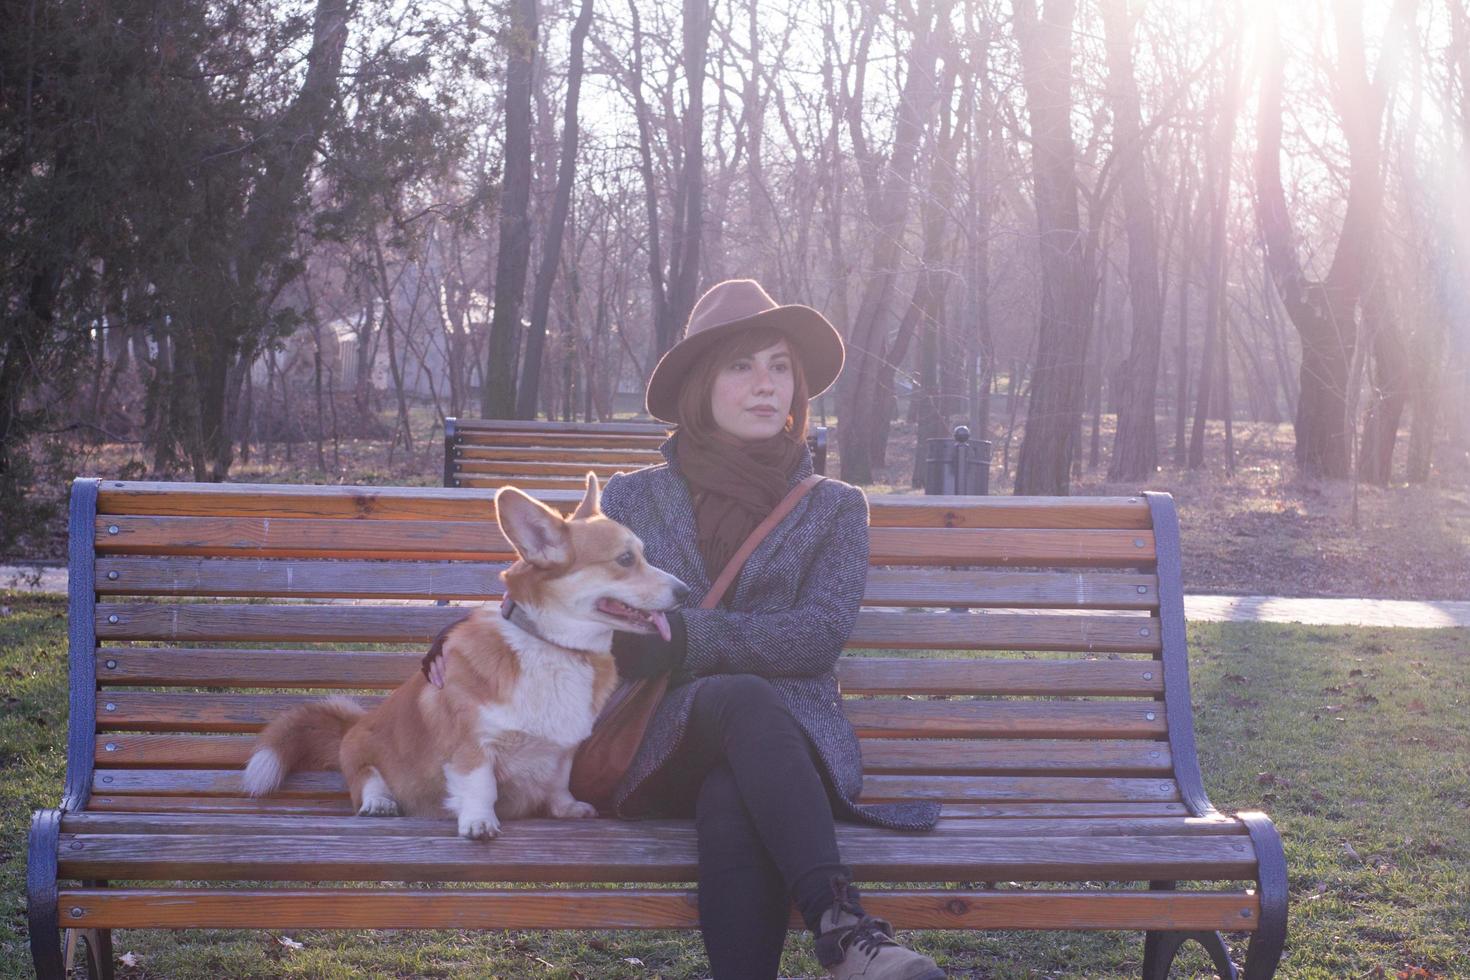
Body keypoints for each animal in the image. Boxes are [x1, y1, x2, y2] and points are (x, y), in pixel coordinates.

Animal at [242, 473, 687, 834]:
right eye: (625, 559)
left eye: (643, 554)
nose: (684, 592)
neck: (552, 646)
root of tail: (351, 726)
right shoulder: (472, 744)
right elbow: (480, 785)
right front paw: (479, 822)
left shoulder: (564, 750)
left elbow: (559, 781)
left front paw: (567, 808)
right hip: (362, 753)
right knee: (367, 779)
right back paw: (379, 802)